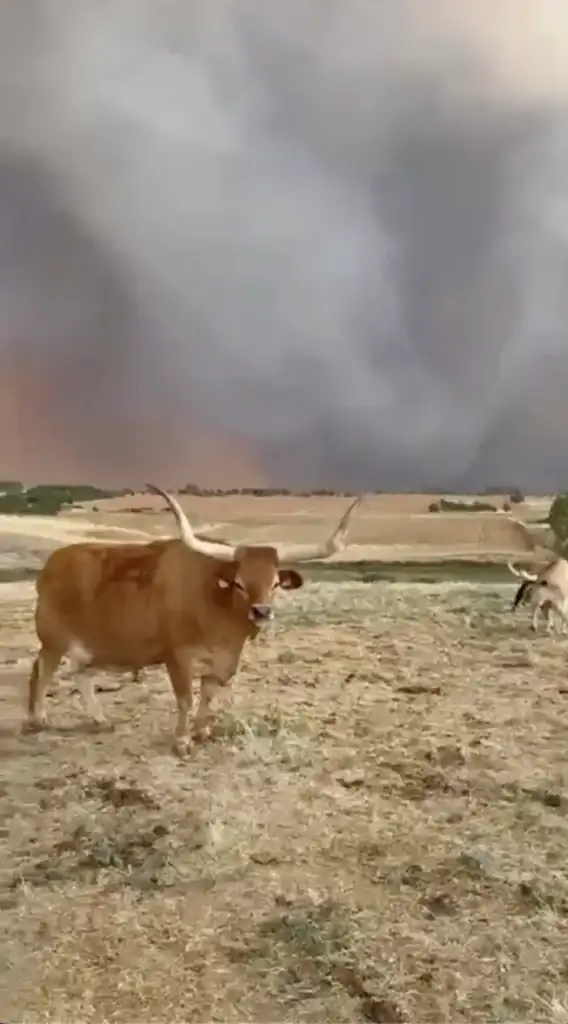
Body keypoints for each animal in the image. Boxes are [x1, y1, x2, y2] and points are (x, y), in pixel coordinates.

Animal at [25, 486, 362, 754]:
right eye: (239, 583)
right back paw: (38, 718)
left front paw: (201, 732)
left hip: (89, 645)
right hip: (53, 640)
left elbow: (208, 697)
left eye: (276, 583)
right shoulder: (178, 658)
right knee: (42, 670)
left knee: (79, 674)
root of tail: (53, 562)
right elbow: (186, 699)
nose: (261, 612)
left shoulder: (222, 662)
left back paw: (100, 719)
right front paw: (182, 741)